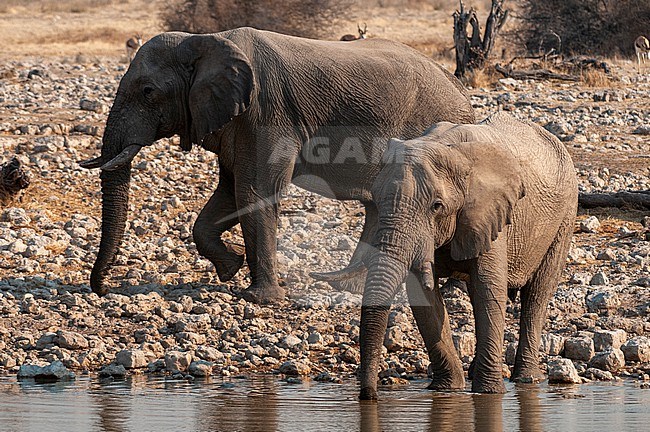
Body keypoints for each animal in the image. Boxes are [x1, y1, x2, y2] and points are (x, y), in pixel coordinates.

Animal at [82, 28, 476, 302]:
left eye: (148, 92)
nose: (103, 289)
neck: (204, 41)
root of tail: (462, 92)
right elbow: (229, 192)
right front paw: (230, 268)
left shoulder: (266, 113)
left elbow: (254, 192)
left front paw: (260, 299)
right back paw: (347, 284)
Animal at [356, 113, 576, 400]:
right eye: (376, 201)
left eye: (436, 206)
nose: (369, 396)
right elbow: (423, 296)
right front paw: (447, 389)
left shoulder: (491, 212)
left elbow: (488, 288)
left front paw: (488, 393)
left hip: (565, 215)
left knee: (537, 294)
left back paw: (527, 379)